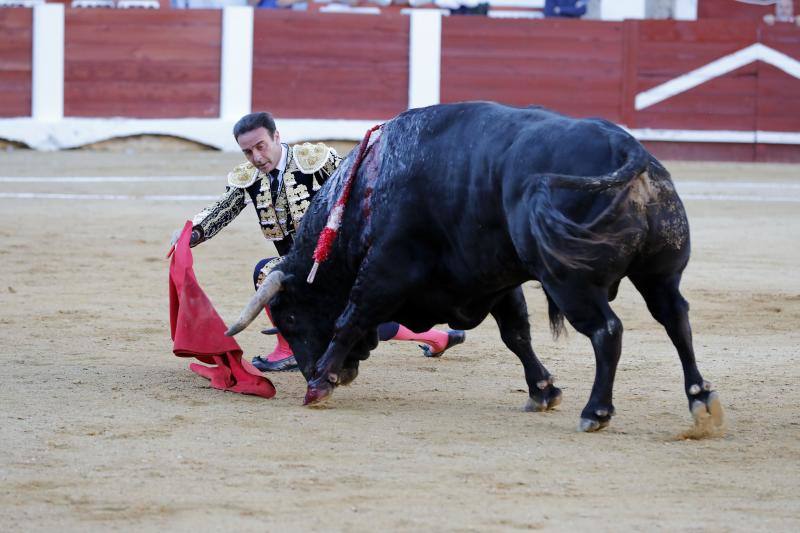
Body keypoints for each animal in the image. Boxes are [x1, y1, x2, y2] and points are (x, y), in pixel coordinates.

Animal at [225, 103, 724, 432]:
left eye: (291, 317)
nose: (312, 371)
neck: (367, 189)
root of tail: (625, 148)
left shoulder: (389, 265)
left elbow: (352, 316)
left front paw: (320, 386)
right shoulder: (493, 279)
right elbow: (516, 334)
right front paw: (543, 391)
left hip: (568, 280)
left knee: (607, 330)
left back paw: (596, 412)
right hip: (659, 272)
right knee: (676, 318)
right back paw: (701, 401)